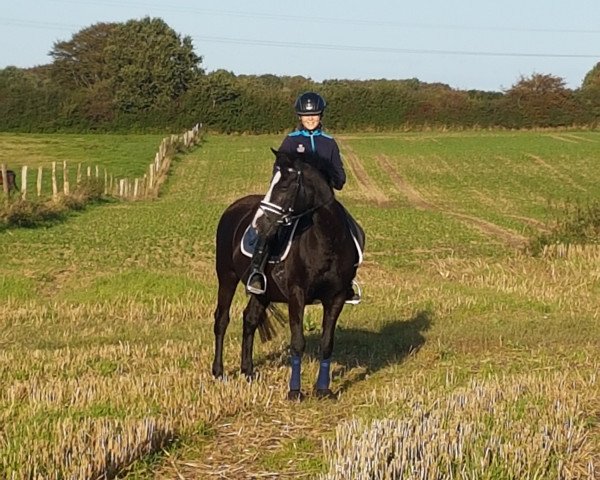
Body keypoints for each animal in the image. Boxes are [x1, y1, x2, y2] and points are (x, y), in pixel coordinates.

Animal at [212, 148, 360, 400]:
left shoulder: (336, 297)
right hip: (226, 277)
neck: (327, 241)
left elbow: (327, 343)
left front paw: (323, 389)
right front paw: (295, 391)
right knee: (221, 320)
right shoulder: (296, 294)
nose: (260, 223)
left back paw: (247, 371)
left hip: (262, 292)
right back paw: (218, 372)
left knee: (249, 320)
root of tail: (234, 207)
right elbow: (297, 342)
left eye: (283, 186)